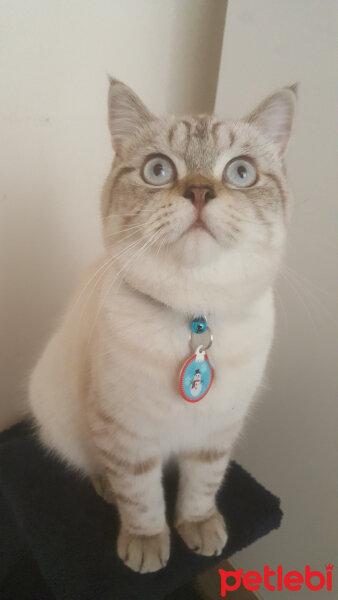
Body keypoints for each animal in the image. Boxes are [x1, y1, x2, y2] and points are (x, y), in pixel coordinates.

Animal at [27, 77, 294, 576]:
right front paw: (147, 546)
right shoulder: (125, 432)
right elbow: (141, 497)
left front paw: (200, 529)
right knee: (98, 468)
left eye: (241, 172)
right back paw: (107, 490)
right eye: (158, 169)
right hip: (64, 417)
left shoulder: (216, 433)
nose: (200, 191)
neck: (194, 314)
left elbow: (203, 486)